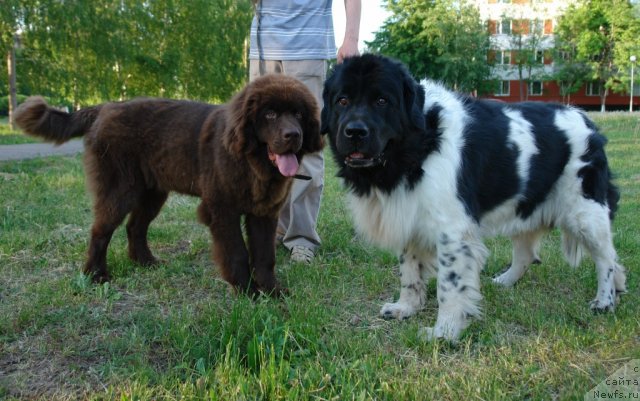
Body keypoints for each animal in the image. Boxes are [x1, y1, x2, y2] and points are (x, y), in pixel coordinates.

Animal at [13, 73, 324, 296]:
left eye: (298, 114)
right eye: (270, 114)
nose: (293, 135)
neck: (251, 161)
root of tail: (105, 107)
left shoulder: (264, 212)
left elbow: (264, 255)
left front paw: (272, 290)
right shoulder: (222, 209)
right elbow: (237, 252)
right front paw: (246, 291)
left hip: (152, 192)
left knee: (134, 227)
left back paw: (145, 262)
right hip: (119, 188)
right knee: (101, 230)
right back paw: (96, 275)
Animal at [320, 54, 624, 340]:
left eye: (382, 100)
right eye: (342, 100)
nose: (355, 131)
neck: (417, 147)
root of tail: (587, 121)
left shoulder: (453, 232)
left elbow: (448, 286)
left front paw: (443, 332)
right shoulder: (409, 215)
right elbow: (409, 271)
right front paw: (406, 307)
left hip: (586, 213)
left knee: (607, 257)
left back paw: (605, 300)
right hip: (525, 206)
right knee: (527, 255)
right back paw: (505, 281)